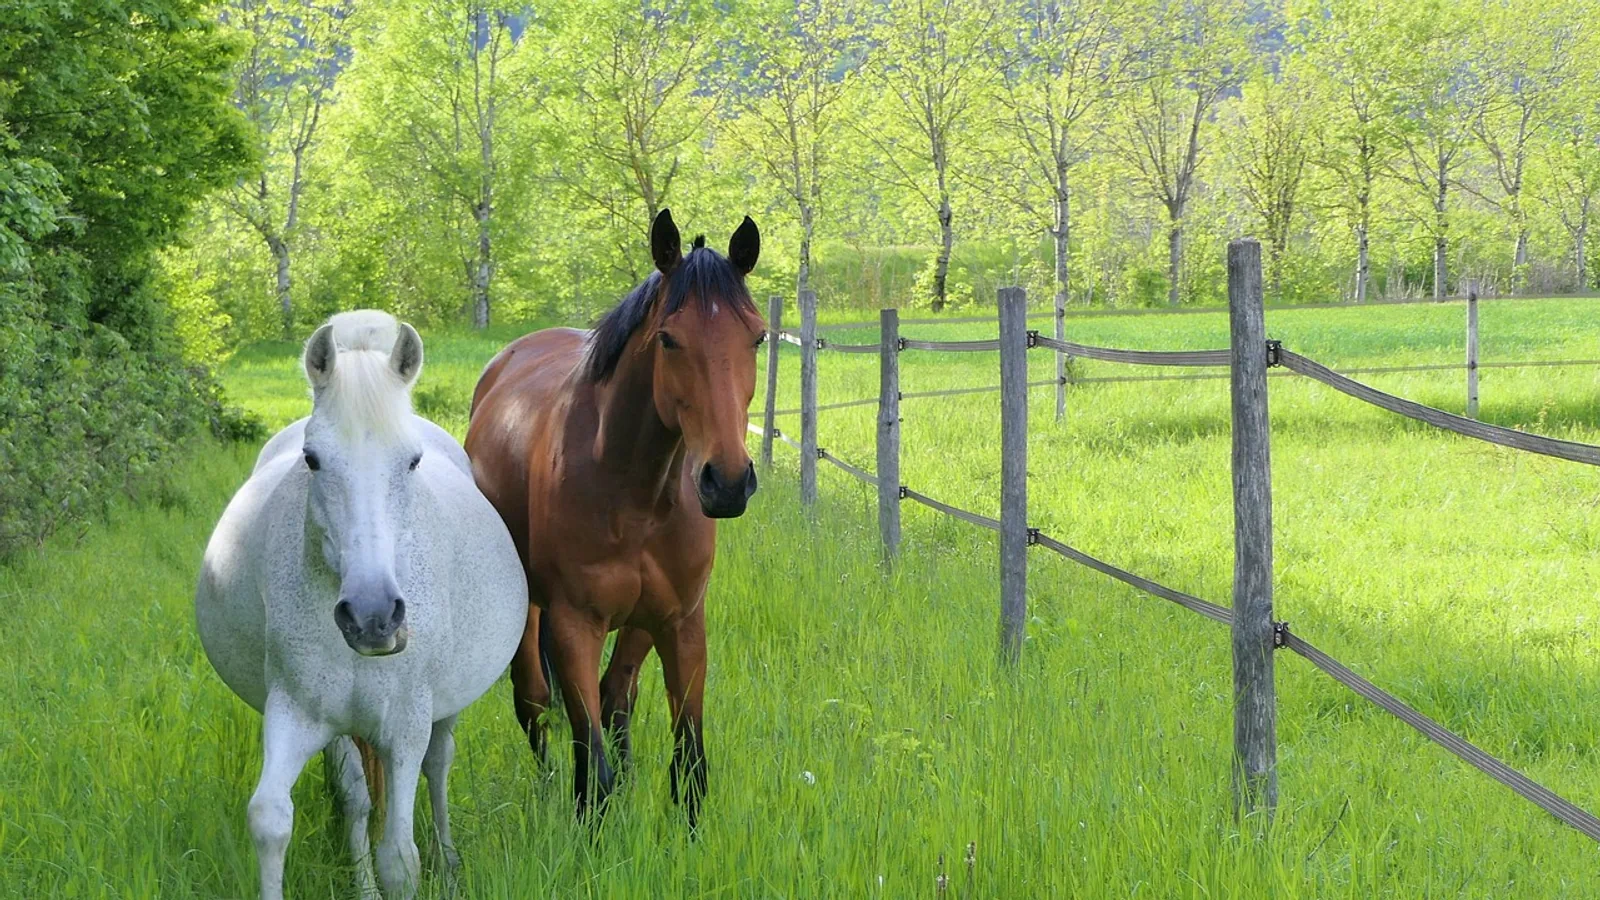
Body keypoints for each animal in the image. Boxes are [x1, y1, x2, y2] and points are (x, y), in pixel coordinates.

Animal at [195, 311, 528, 900]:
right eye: (312, 459)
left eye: (412, 461)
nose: (373, 617)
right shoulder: (296, 713)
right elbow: (277, 818)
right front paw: (362, 884)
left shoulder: (406, 727)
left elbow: (399, 856)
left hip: (443, 712)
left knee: (439, 767)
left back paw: (450, 859)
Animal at [465, 209, 764, 826]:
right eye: (669, 339)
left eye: (758, 336)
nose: (726, 482)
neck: (632, 490)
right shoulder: (573, 625)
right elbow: (593, 771)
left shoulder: (680, 622)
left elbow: (689, 767)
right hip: (530, 610)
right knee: (534, 702)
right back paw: (548, 790)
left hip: (640, 622)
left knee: (616, 694)